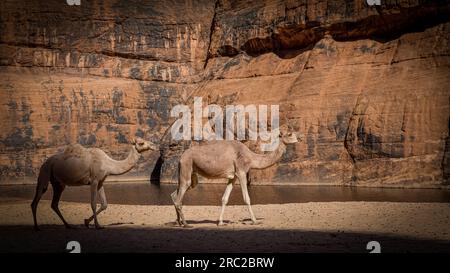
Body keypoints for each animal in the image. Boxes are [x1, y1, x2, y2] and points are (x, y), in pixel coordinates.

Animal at [171, 125, 300, 225]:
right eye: (289, 134)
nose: (299, 138)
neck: (251, 158)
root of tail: (180, 158)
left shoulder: (233, 177)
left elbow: (224, 199)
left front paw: (221, 222)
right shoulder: (241, 172)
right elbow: (247, 198)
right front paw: (255, 221)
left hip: (192, 175)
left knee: (175, 194)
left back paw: (179, 222)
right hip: (186, 167)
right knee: (179, 196)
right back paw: (185, 224)